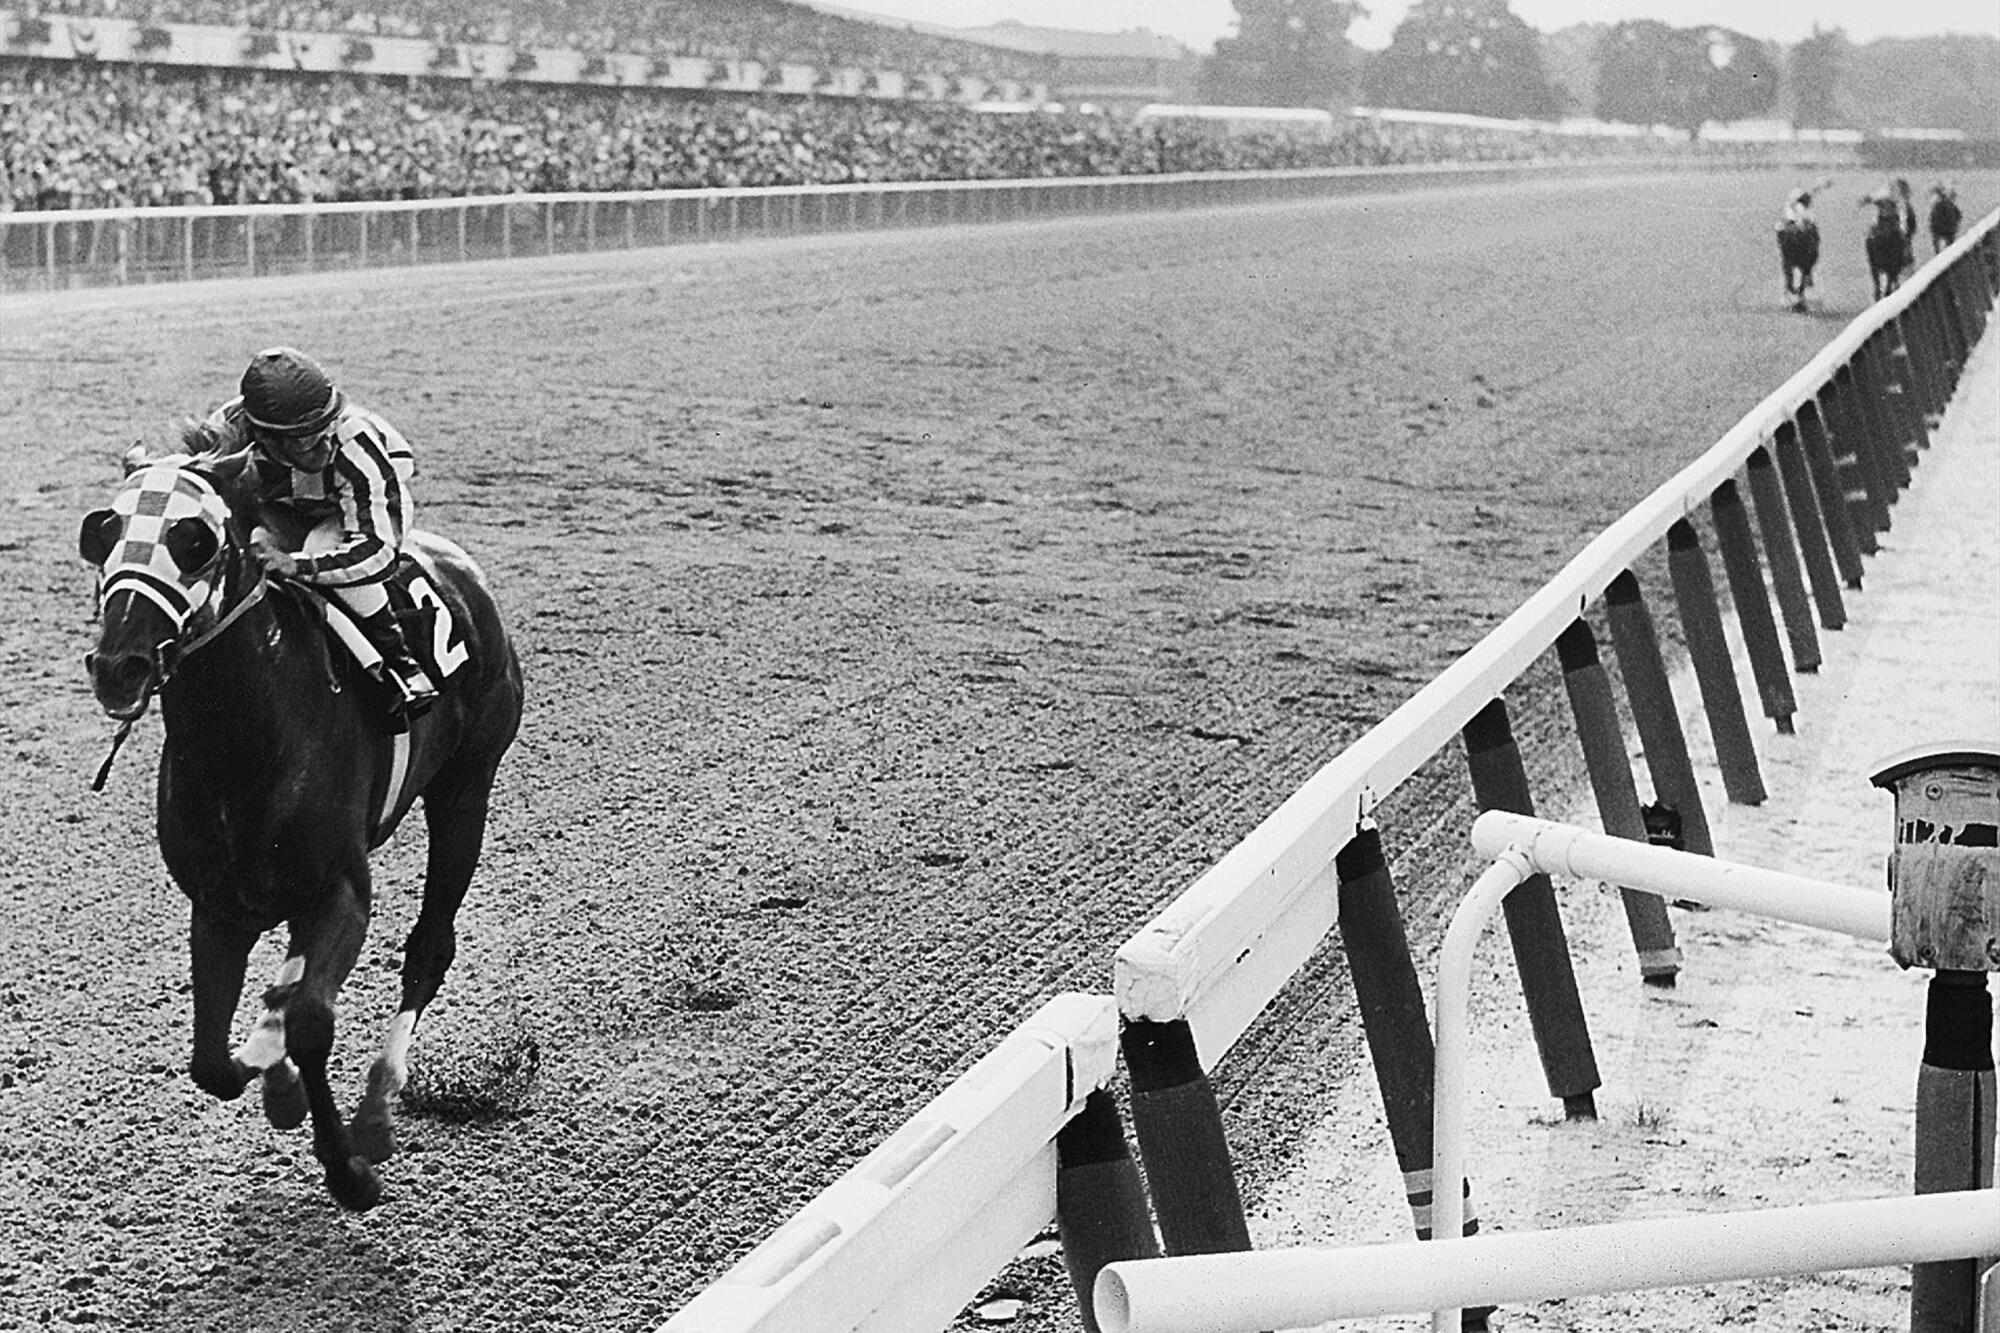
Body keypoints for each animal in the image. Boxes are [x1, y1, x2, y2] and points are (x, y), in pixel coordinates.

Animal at [83, 436, 528, 1200]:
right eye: (105, 534)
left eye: (195, 540)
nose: (119, 664)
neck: (244, 742)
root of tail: (461, 566)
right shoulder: (219, 905)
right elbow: (211, 1059)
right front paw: (273, 1075)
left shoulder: (342, 888)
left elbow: (314, 1022)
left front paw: (348, 1167)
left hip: (466, 788)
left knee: (429, 948)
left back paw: (377, 1107)